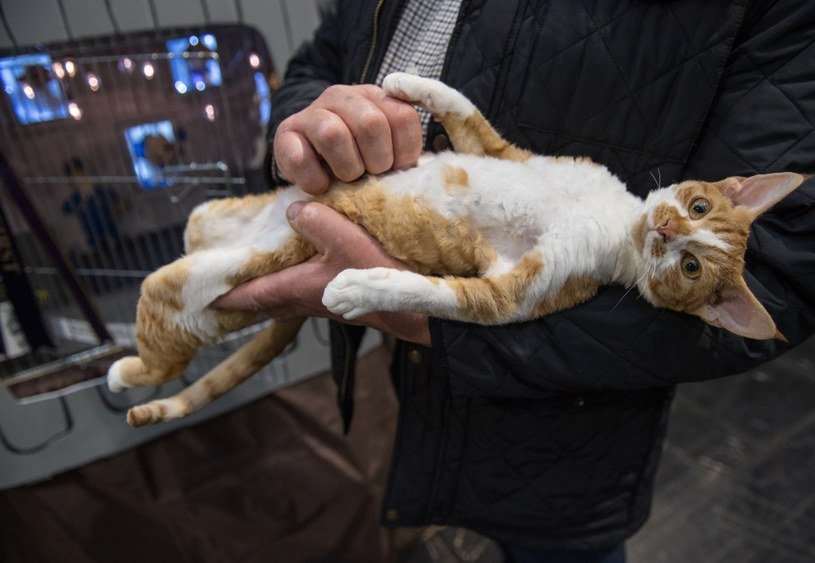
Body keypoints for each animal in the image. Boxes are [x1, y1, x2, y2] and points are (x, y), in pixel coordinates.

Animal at [107, 74, 804, 428]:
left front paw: (357, 287)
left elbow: (433, 293)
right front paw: (398, 83)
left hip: (194, 293)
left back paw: (122, 373)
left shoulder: (516, 291)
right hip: (209, 219)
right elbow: (464, 107)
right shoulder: (506, 152)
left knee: (162, 343)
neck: (613, 222)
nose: (662, 231)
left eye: (690, 266)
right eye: (698, 207)